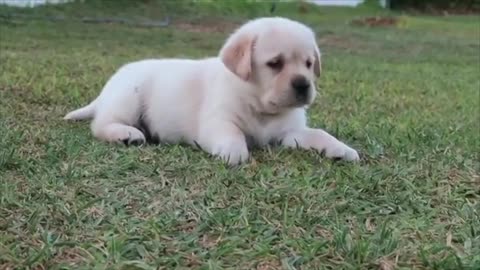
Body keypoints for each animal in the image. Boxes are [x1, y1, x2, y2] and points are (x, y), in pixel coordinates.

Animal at [63, 17, 358, 165]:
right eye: (275, 63)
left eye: (308, 64)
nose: (303, 85)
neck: (261, 106)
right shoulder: (217, 120)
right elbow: (232, 133)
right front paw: (234, 151)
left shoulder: (289, 133)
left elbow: (318, 133)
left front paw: (341, 149)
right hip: (128, 98)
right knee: (101, 124)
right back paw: (127, 134)